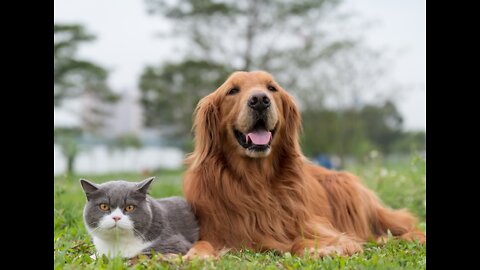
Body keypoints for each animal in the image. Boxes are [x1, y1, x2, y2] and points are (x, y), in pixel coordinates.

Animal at [182, 70, 426, 258]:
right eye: (232, 91)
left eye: (272, 88)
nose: (260, 100)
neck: (257, 180)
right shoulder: (216, 230)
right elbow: (202, 243)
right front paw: (195, 255)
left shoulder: (319, 228)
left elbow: (304, 242)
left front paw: (321, 250)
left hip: (345, 187)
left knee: (403, 225)